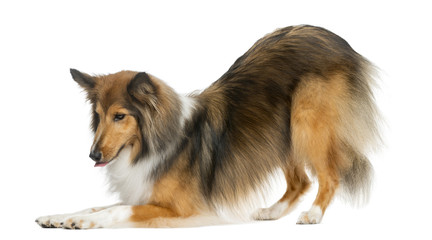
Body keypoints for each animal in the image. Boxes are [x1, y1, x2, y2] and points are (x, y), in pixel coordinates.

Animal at [37, 24, 382, 229]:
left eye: (120, 116)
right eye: (98, 114)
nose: (93, 156)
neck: (151, 142)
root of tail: (335, 38)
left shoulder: (181, 207)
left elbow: (117, 210)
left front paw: (80, 223)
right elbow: (95, 205)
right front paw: (59, 216)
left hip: (306, 122)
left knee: (329, 175)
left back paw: (314, 214)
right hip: (278, 130)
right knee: (300, 181)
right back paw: (272, 212)